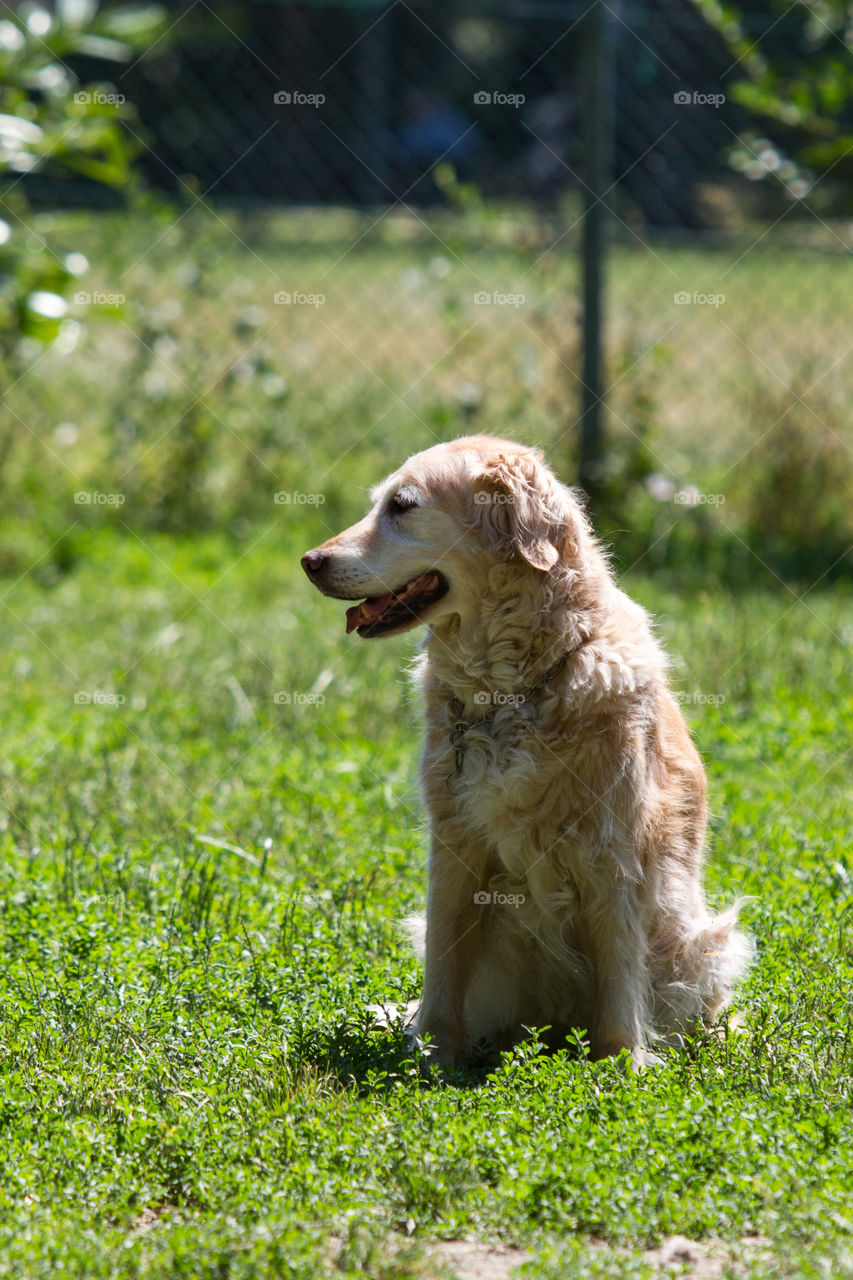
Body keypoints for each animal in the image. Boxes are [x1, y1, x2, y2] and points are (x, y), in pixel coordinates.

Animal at [298, 435, 742, 1064]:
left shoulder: (612, 846)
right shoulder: (454, 841)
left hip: (701, 940)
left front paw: (623, 1061)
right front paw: (432, 1053)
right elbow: (443, 963)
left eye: (402, 507)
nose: (310, 561)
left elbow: (619, 967)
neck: (508, 690)